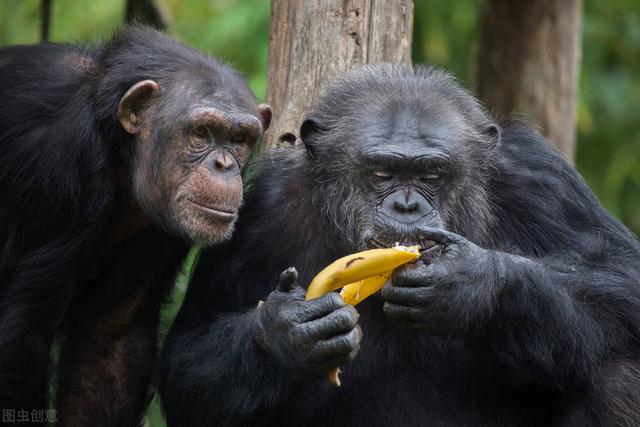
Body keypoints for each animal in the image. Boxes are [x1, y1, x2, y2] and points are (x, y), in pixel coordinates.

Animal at [0, 25, 270, 424]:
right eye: (202, 132)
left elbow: (109, 339)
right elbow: (20, 334)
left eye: (239, 139)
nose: (224, 165)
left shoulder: (154, 225)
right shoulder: (57, 159)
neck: (113, 140)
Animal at [162, 64, 640, 427]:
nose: (406, 205)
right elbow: (188, 359)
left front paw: (472, 284)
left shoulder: (541, 178)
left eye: (431, 175)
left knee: (616, 371)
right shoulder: (260, 208)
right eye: (381, 173)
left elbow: (624, 275)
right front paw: (289, 331)